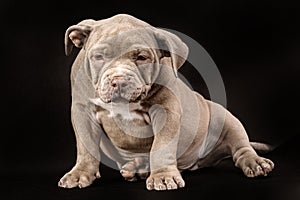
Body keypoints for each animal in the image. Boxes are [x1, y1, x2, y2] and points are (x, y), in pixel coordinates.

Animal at [58, 14, 274, 191]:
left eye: (142, 57)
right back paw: (137, 168)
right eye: (98, 57)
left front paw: (162, 177)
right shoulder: (82, 111)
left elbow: (161, 146)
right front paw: (79, 173)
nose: (119, 81)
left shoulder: (165, 111)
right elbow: (86, 146)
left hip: (226, 119)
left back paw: (256, 163)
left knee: (241, 148)